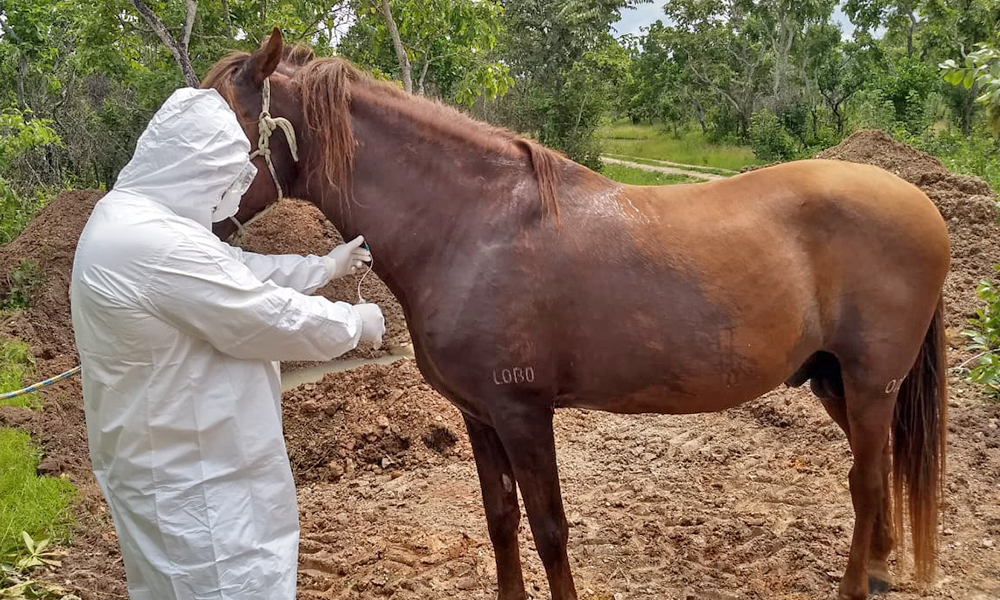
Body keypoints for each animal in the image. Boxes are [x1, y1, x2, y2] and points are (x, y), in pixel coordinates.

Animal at [199, 31, 948, 600]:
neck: (469, 227)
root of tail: (922, 205)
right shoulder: (480, 416)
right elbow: (502, 520)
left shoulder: (523, 413)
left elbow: (549, 527)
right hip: (832, 381)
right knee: (876, 472)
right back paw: (879, 571)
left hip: (870, 383)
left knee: (866, 482)